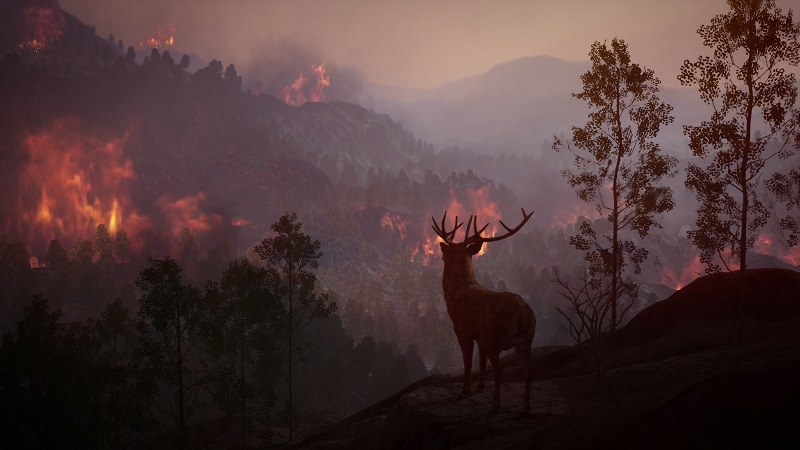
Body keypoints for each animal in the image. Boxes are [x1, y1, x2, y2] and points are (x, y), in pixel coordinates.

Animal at [432, 207, 536, 414]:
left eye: (447, 254)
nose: (441, 254)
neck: (458, 290)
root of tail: (523, 315)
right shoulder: (479, 336)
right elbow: (480, 359)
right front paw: (479, 387)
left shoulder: (462, 330)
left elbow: (467, 360)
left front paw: (465, 390)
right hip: (526, 339)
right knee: (528, 368)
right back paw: (525, 407)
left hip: (493, 337)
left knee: (500, 368)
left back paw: (495, 406)